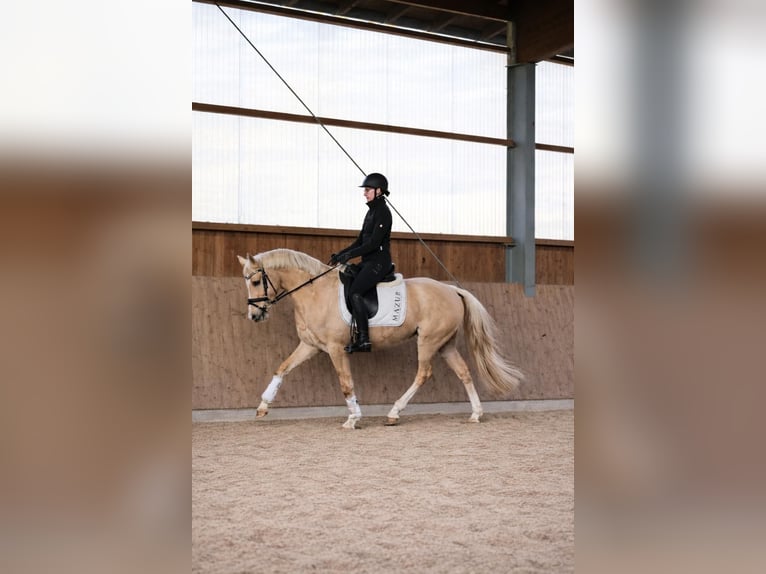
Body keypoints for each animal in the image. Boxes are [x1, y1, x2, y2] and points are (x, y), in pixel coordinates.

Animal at [237, 248, 524, 429]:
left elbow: (345, 383)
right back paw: (475, 415)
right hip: (445, 344)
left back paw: (394, 413)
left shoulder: (335, 348)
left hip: (428, 341)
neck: (315, 292)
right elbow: (282, 368)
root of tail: (452, 290)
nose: (254, 315)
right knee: (463, 372)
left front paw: (353, 418)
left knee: (423, 373)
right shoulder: (310, 346)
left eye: (255, 282)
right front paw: (262, 406)